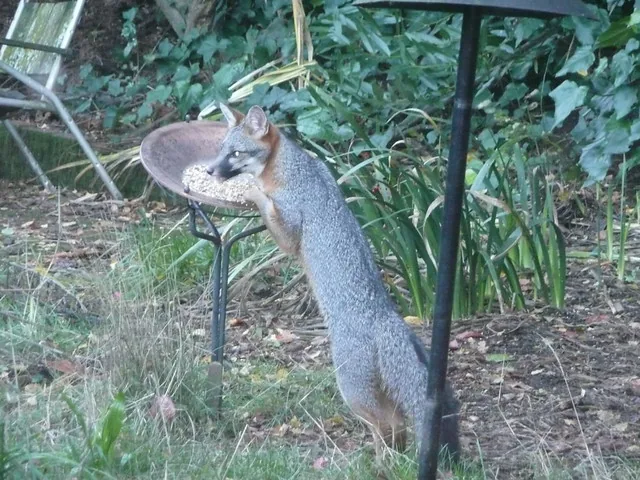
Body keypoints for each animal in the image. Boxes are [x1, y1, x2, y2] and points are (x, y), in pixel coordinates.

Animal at [206, 104, 461, 477]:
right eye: (221, 149)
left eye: (235, 154)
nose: (210, 169)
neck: (291, 169)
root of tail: (385, 318)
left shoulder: (289, 232)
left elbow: (266, 204)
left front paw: (250, 190)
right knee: (396, 425)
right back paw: (386, 463)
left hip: (351, 390)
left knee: (387, 424)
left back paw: (378, 466)